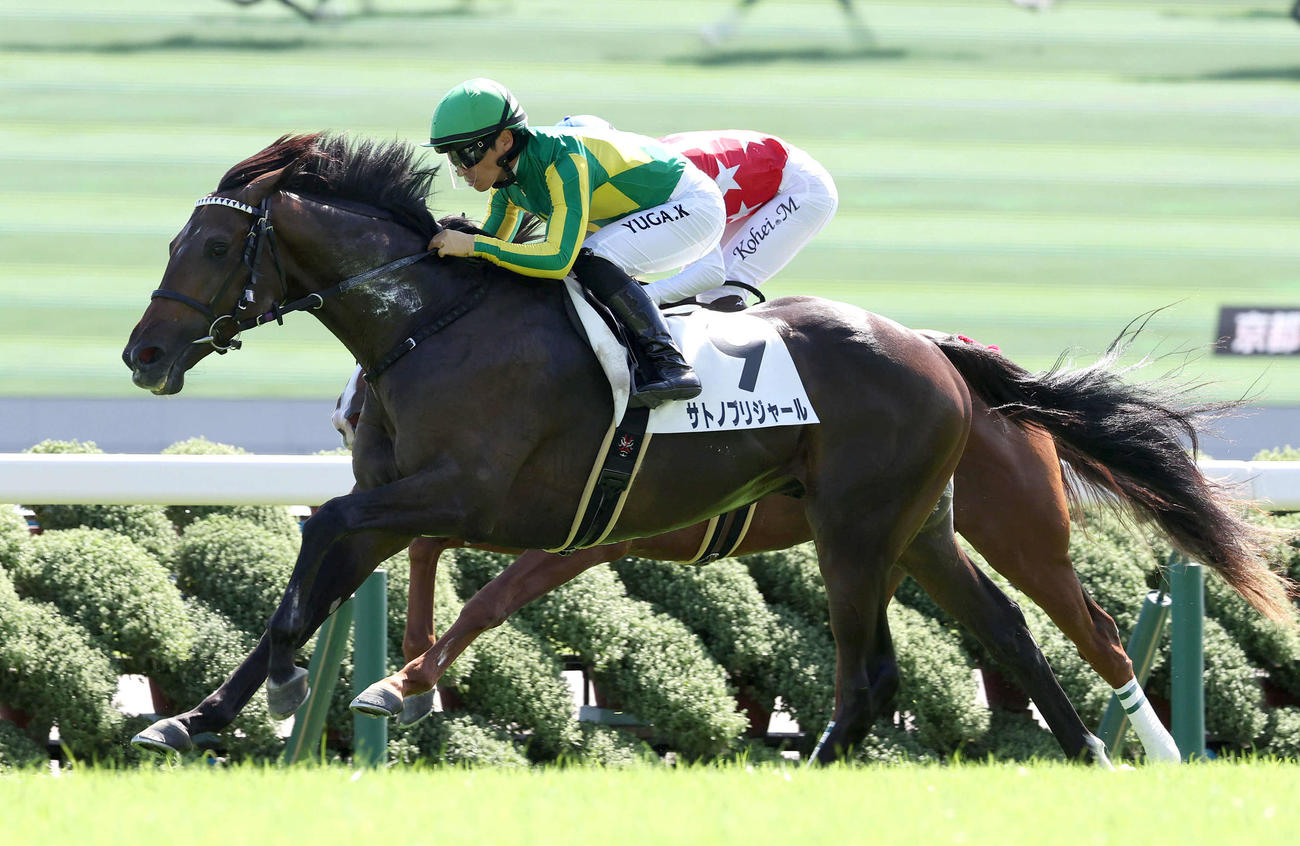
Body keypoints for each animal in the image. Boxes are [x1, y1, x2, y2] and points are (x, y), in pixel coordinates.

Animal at [124, 131, 1112, 764]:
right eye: (174, 239)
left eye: (215, 244)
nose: (144, 355)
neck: (431, 325)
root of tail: (932, 351)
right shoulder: (413, 503)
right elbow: (316, 575)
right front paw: (198, 717)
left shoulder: (473, 496)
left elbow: (326, 527)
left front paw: (314, 685)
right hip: (920, 527)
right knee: (1013, 634)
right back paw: (1091, 755)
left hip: (861, 528)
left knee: (873, 674)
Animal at [356, 321, 1293, 763]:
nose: (354, 418)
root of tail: (954, 359)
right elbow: (441, 559)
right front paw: (405, 682)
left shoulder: (590, 533)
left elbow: (487, 597)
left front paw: (405, 683)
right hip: (919, 536)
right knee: (1006, 627)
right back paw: (1094, 751)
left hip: (1008, 530)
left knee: (1091, 631)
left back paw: (1156, 755)